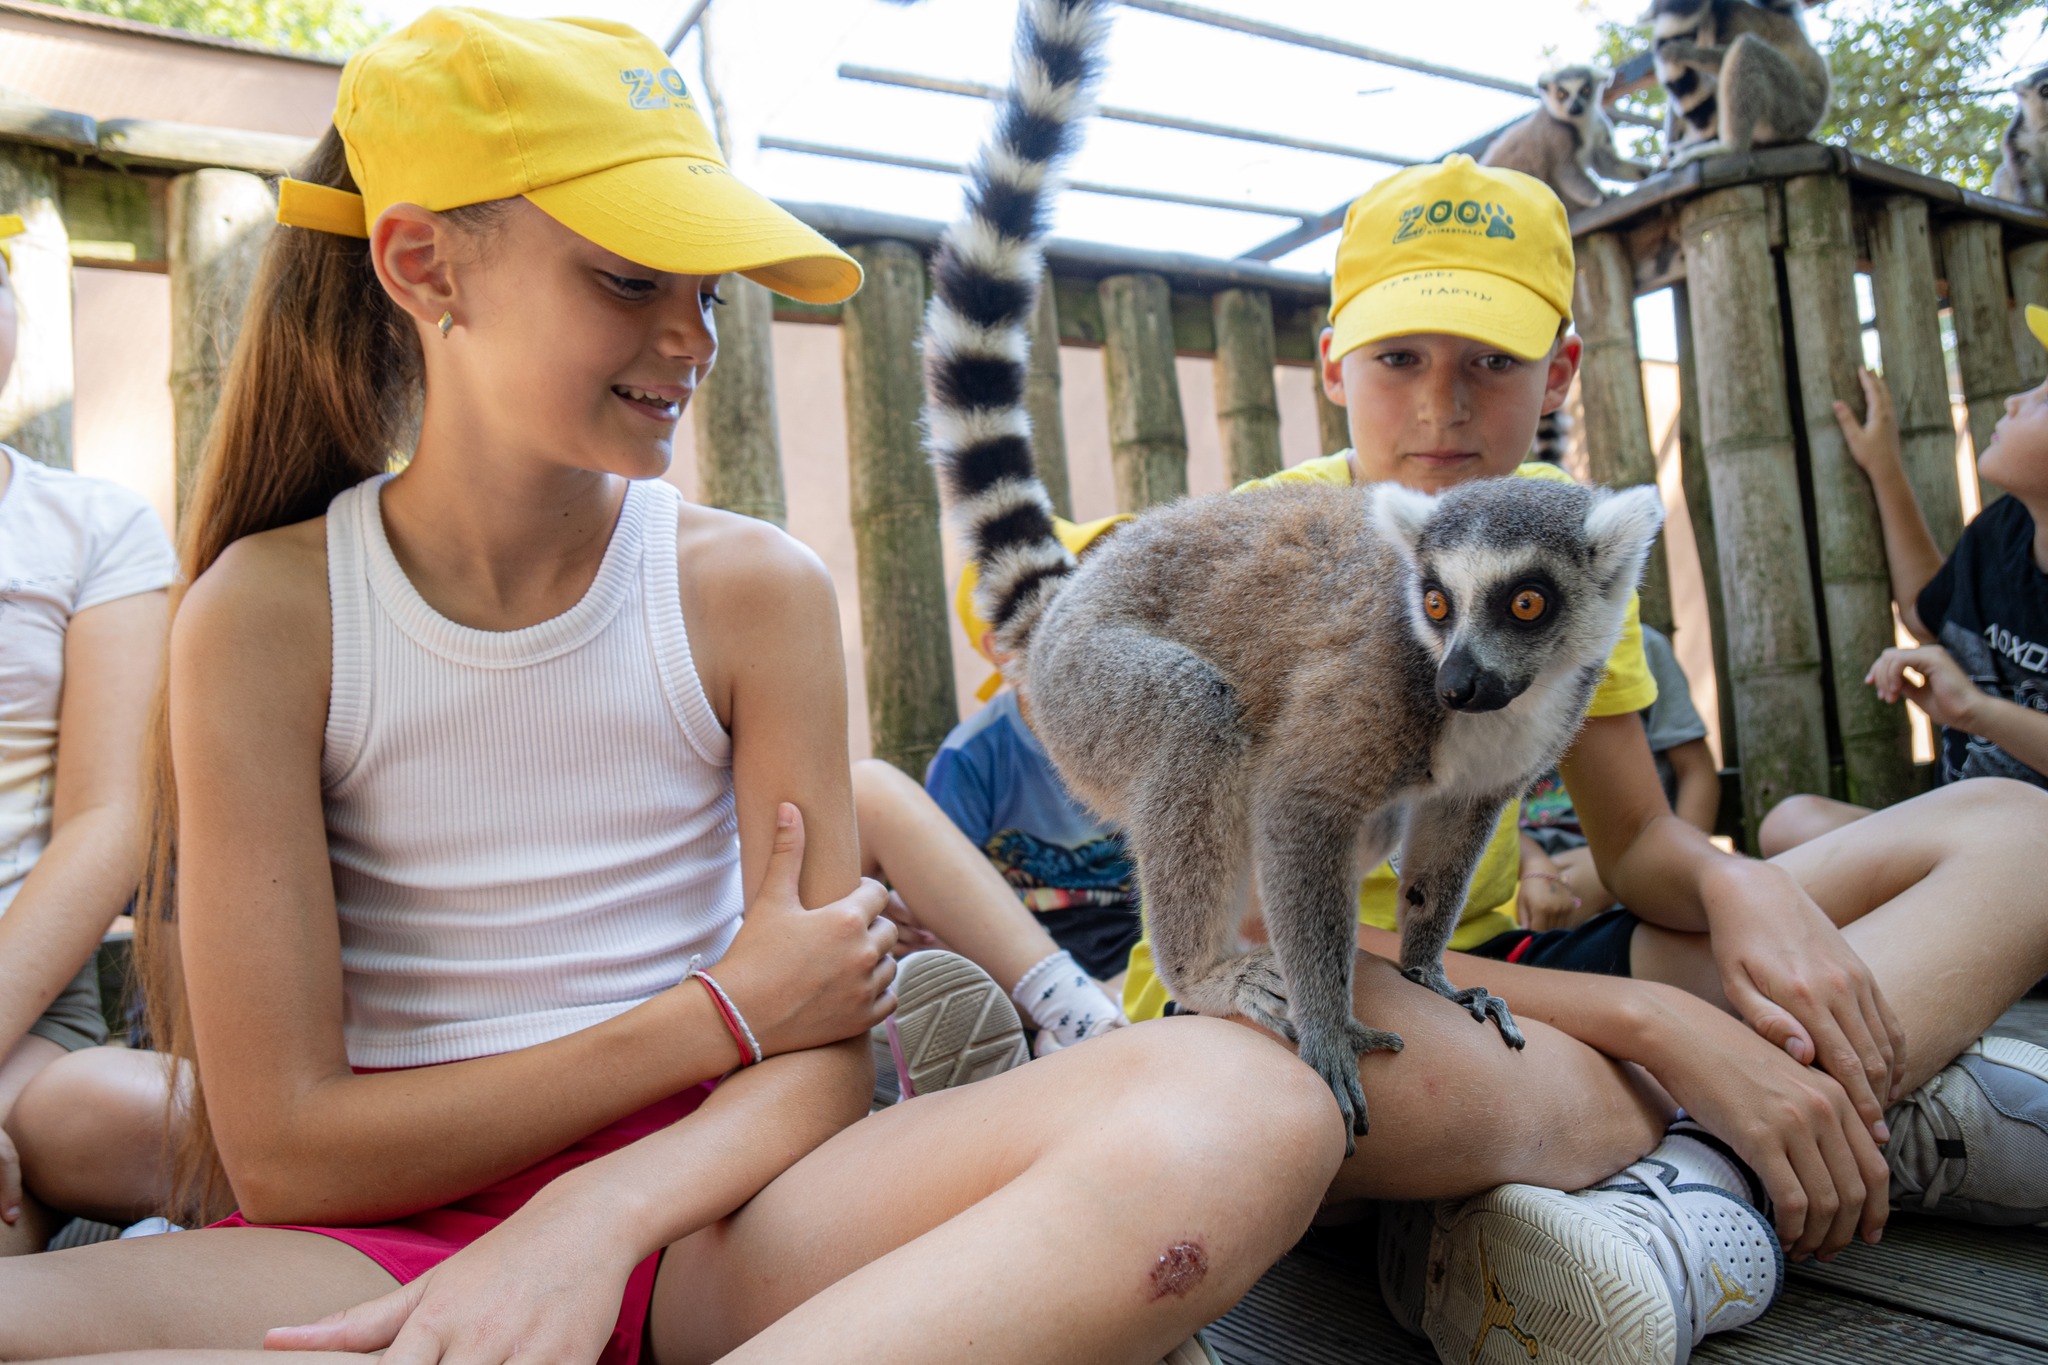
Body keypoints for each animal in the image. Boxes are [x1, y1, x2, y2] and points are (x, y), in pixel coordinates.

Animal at [1481, 65, 1654, 212]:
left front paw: (1649, 171)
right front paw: (1604, 196)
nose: (1575, 107)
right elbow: (1566, 171)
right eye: (1562, 94)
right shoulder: (1557, 134)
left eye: (1585, 90)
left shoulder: (1598, 125)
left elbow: (1606, 163)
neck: (1581, 124)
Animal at [1648, 0, 1830, 168]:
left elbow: (1724, 56)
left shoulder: (1732, 19)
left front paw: (1686, 52)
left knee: (1747, 48)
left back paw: (1728, 148)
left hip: (1792, 104)